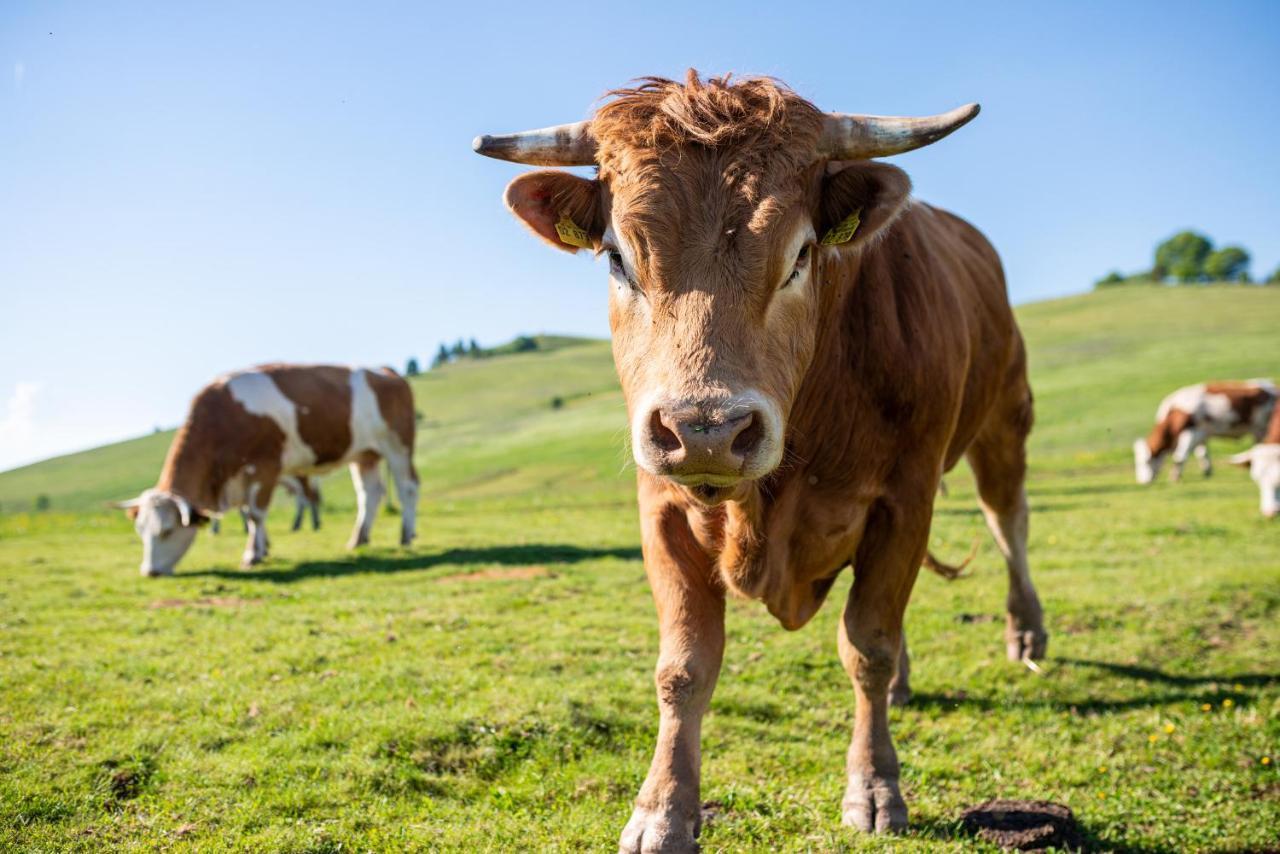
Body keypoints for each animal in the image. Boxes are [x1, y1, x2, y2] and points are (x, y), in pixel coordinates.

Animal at [114, 363, 414, 578]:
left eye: (167, 530)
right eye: (140, 530)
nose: (149, 572)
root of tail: (387, 372)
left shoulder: (265, 466)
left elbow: (255, 515)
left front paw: (251, 556)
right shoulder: (240, 477)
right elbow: (248, 515)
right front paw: (262, 549)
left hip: (397, 445)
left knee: (407, 487)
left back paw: (406, 535)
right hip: (364, 455)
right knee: (369, 494)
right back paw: (358, 539)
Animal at [476, 71, 1044, 850]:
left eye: (800, 255)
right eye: (619, 258)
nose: (706, 430)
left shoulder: (905, 499)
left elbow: (867, 645)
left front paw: (874, 788)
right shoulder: (661, 509)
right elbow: (683, 668)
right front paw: (662, 810)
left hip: (1004, 421)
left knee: (1007, 523)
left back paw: (1026, 632)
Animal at [1136, 378, 1274, 483]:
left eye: (1145, 461)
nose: (1143, 482)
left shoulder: (1190, 432)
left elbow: (1180, 456)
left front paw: (1174, 478)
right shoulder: (1201, 433)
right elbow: (1202, 454)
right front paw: (1207, 472)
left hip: (1263, 428)